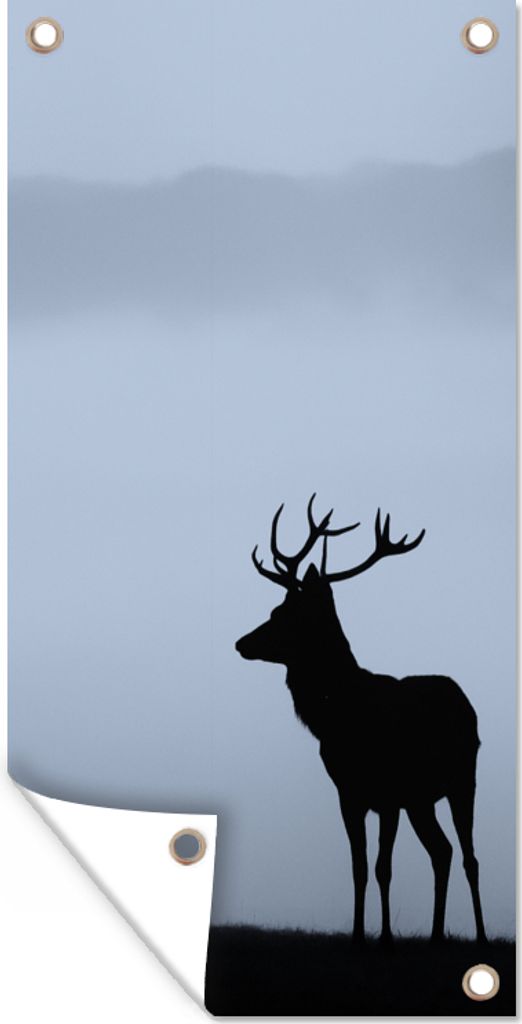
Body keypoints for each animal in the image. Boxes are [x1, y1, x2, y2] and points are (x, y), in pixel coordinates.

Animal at [235, 496, 486, 946]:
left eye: (286, 612)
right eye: (275, 607)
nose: (241, 642)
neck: (340, 714)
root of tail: (465, 701)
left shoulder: (388, 792)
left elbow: (383, 867)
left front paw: (384, 937)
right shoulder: (348, 792)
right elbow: (358, 867)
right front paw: (356, 935)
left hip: (463, 780)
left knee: (469, 857)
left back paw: (479, 935)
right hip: (421, 800)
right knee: (442, 851)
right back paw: (436, 935)